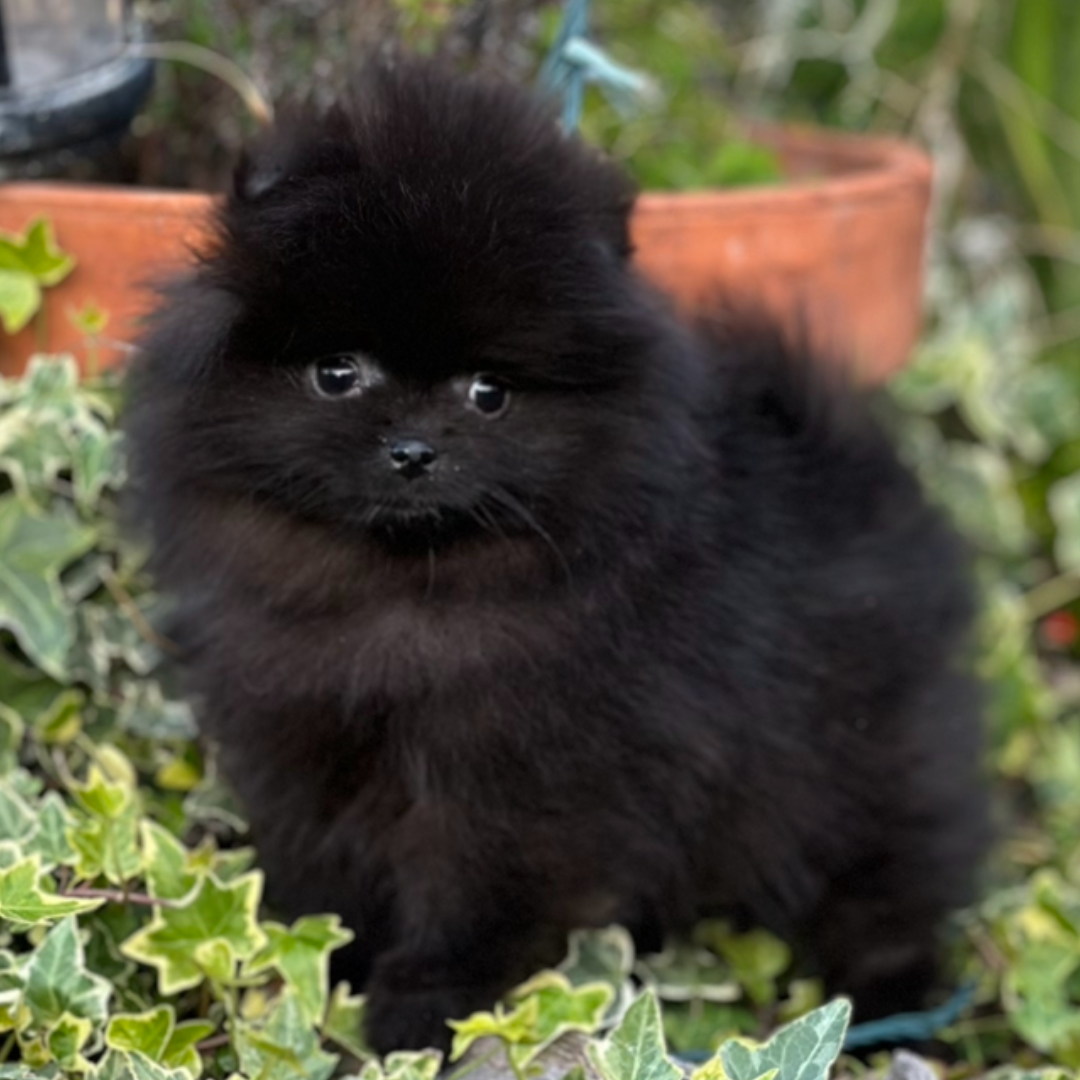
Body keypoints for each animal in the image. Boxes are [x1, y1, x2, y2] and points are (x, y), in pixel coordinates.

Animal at [126, 56, 989, 1045]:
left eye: (489, 392)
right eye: (337, 374)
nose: (413, 450)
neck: (404, 591)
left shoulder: (529, 773)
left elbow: (472, 895)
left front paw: (423, 1011)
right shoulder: (302, 739)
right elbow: (322, 870)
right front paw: (316, 965)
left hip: (866, 754)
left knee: (889, 874)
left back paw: (893, 999)